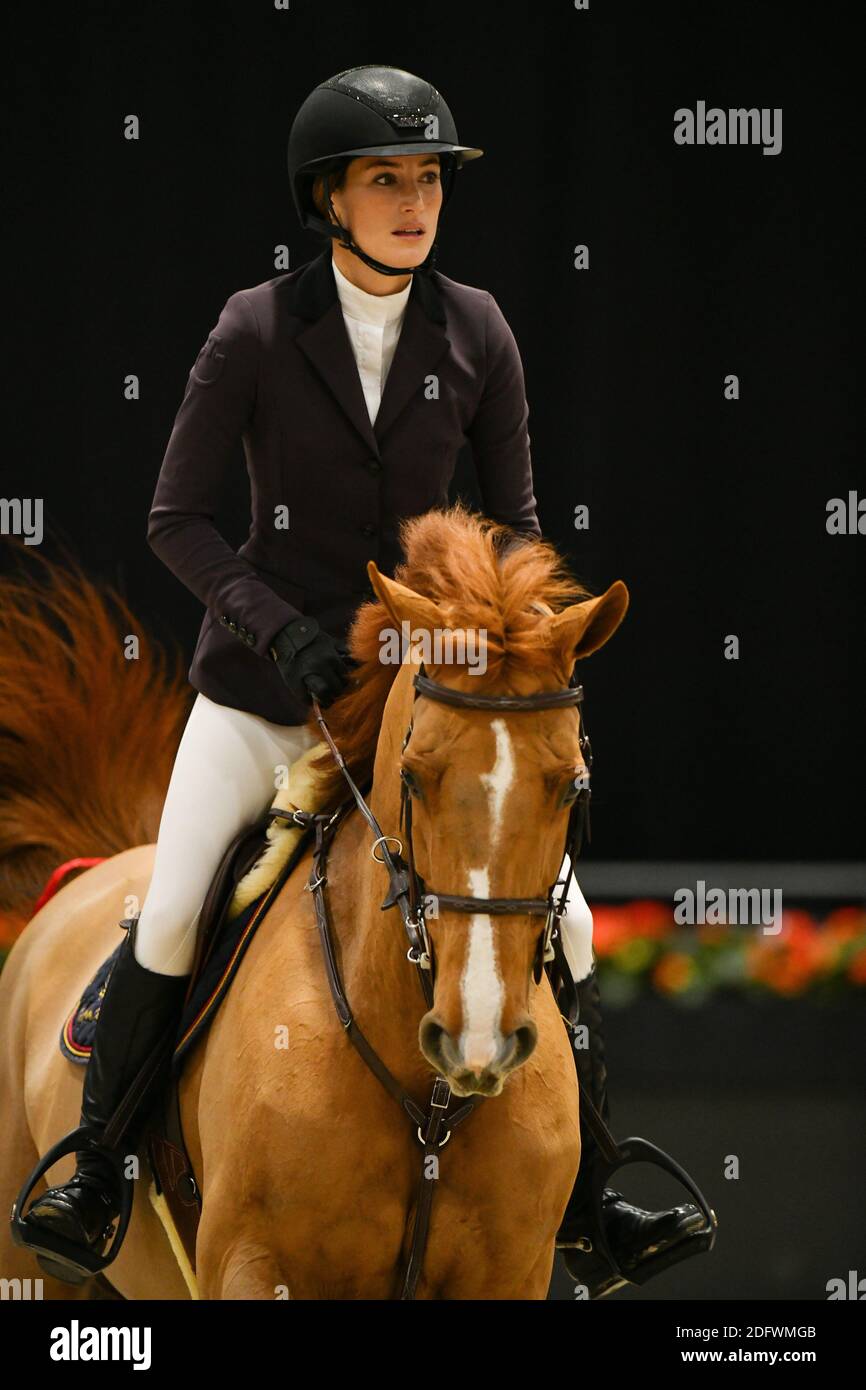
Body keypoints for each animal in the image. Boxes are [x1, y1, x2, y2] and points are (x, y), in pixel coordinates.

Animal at [0, 511, 625, 1301]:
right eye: (413, 777)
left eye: (573, 785)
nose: (477, 1035)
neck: (429, 1100)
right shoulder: (254, 1264)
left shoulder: (511, 1277)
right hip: (28, 1264)